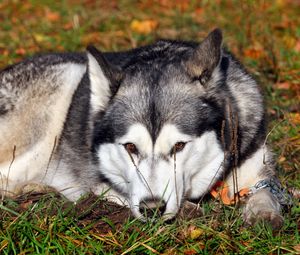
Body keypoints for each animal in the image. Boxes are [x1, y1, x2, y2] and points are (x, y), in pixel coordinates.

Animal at [0, 28, 288, 228]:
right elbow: (113, 191)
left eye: (179, 146)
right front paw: (184, 209)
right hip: (64, 84)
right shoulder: (96, 179)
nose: (153, 208)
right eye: (130, 147)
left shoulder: (254, 161)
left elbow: (266, 189)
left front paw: (263, 212)